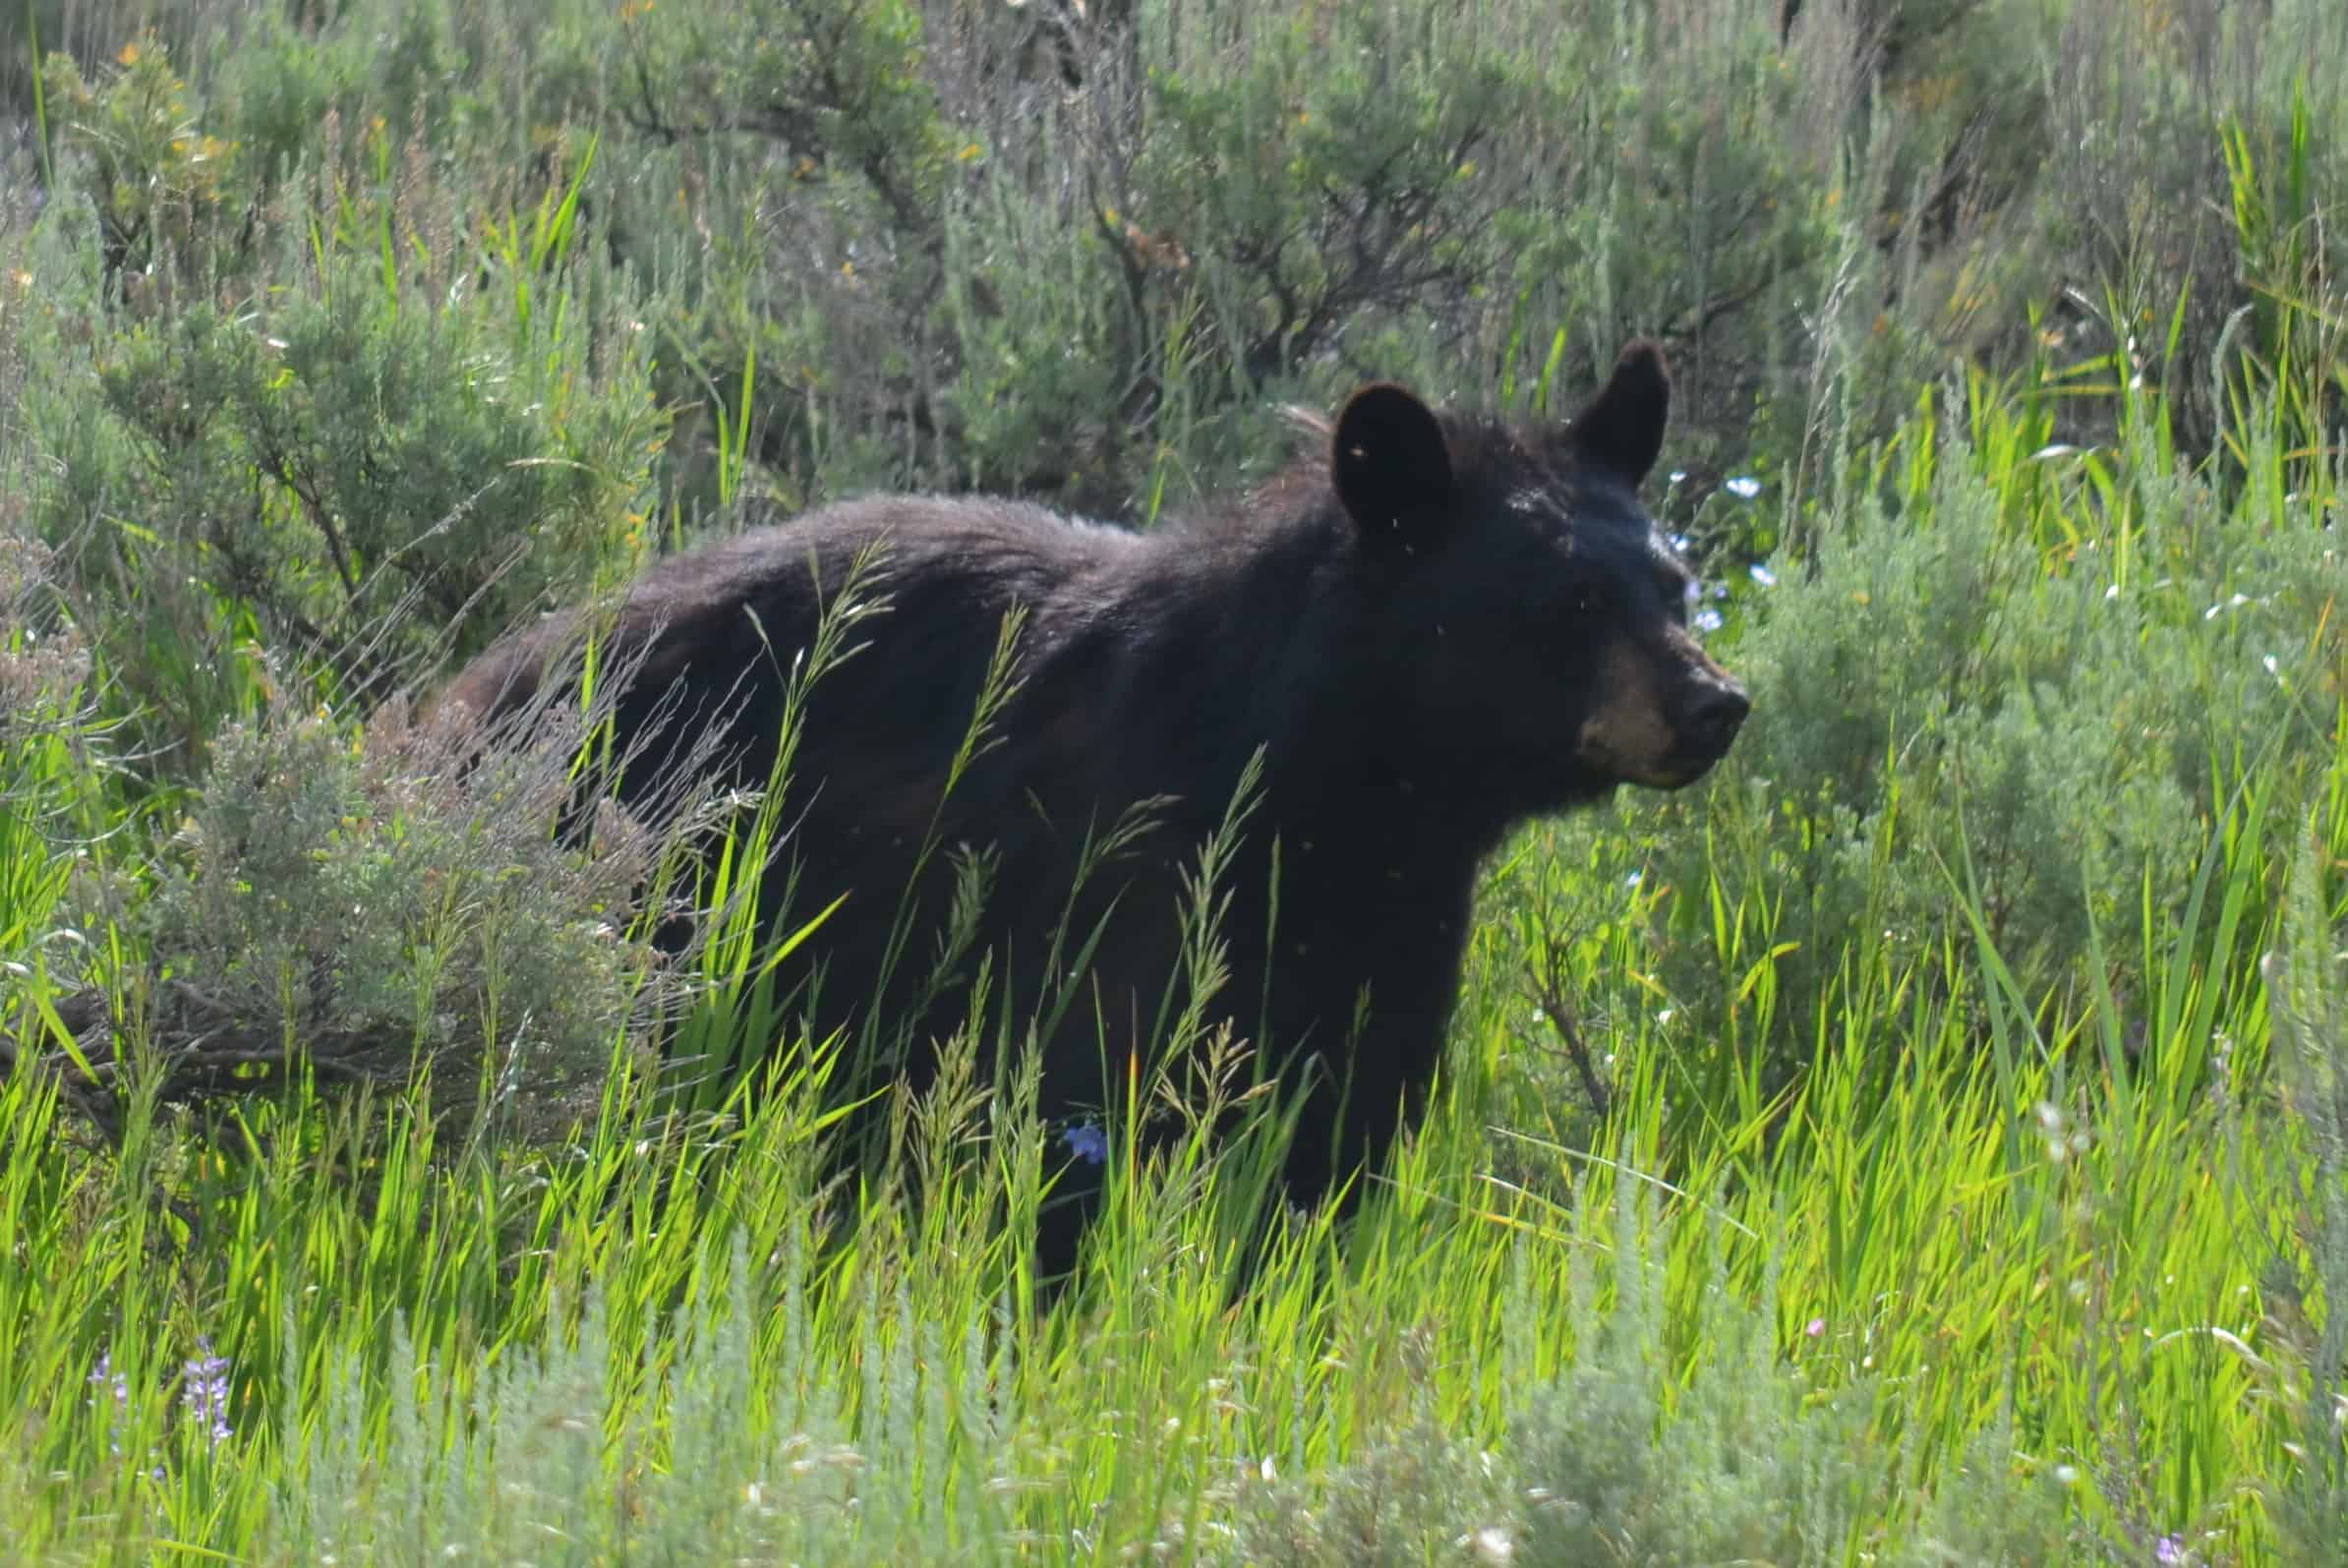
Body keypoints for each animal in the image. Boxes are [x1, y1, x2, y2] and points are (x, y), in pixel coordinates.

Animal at [426, 339, 1749, 1280]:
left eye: (1674, 583)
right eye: (1568, 604)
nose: (1714, 702)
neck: (1345, 788)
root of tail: (468, 690)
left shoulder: (1382, 936)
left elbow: (1326, 1156)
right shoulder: (1121, 885)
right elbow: (1077, 1126)